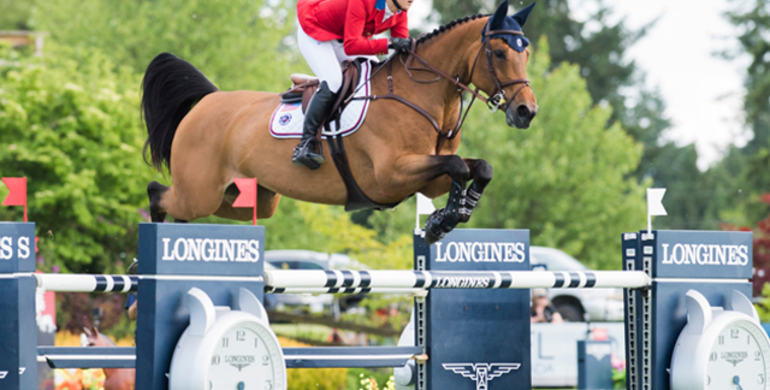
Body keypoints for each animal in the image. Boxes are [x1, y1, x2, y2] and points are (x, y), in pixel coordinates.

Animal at [140, 0, 536, 244]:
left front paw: (454, 213)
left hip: (249, 197)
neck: (422, 97)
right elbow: (457, 165)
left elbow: (478, 168)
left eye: (527, 53)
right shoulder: (390, 176)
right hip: (201, 191)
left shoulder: (426, 177)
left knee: (187, 209)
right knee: (159, 194)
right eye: (499, 53)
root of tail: (208, 100)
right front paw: (444, 219)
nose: (526, 112)